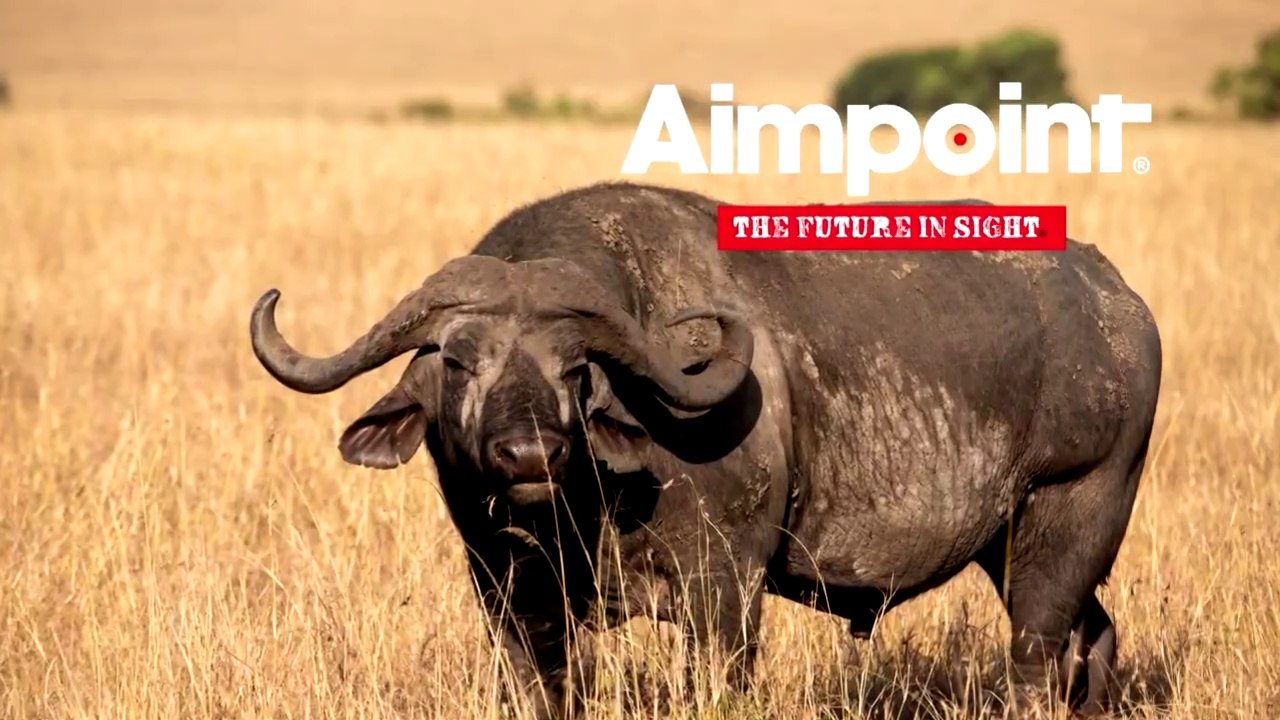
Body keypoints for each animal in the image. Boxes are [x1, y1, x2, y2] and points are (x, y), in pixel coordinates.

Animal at [249, 181, 1162, 718]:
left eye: (575, 368)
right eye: (460, 359)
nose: (529, 455)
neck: (590, 507)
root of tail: (1119, 302)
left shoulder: (725, 588)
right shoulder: (510, 595)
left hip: (1067, 522)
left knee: (1039, 661)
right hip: (1015, 550)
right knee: (1094, 642)